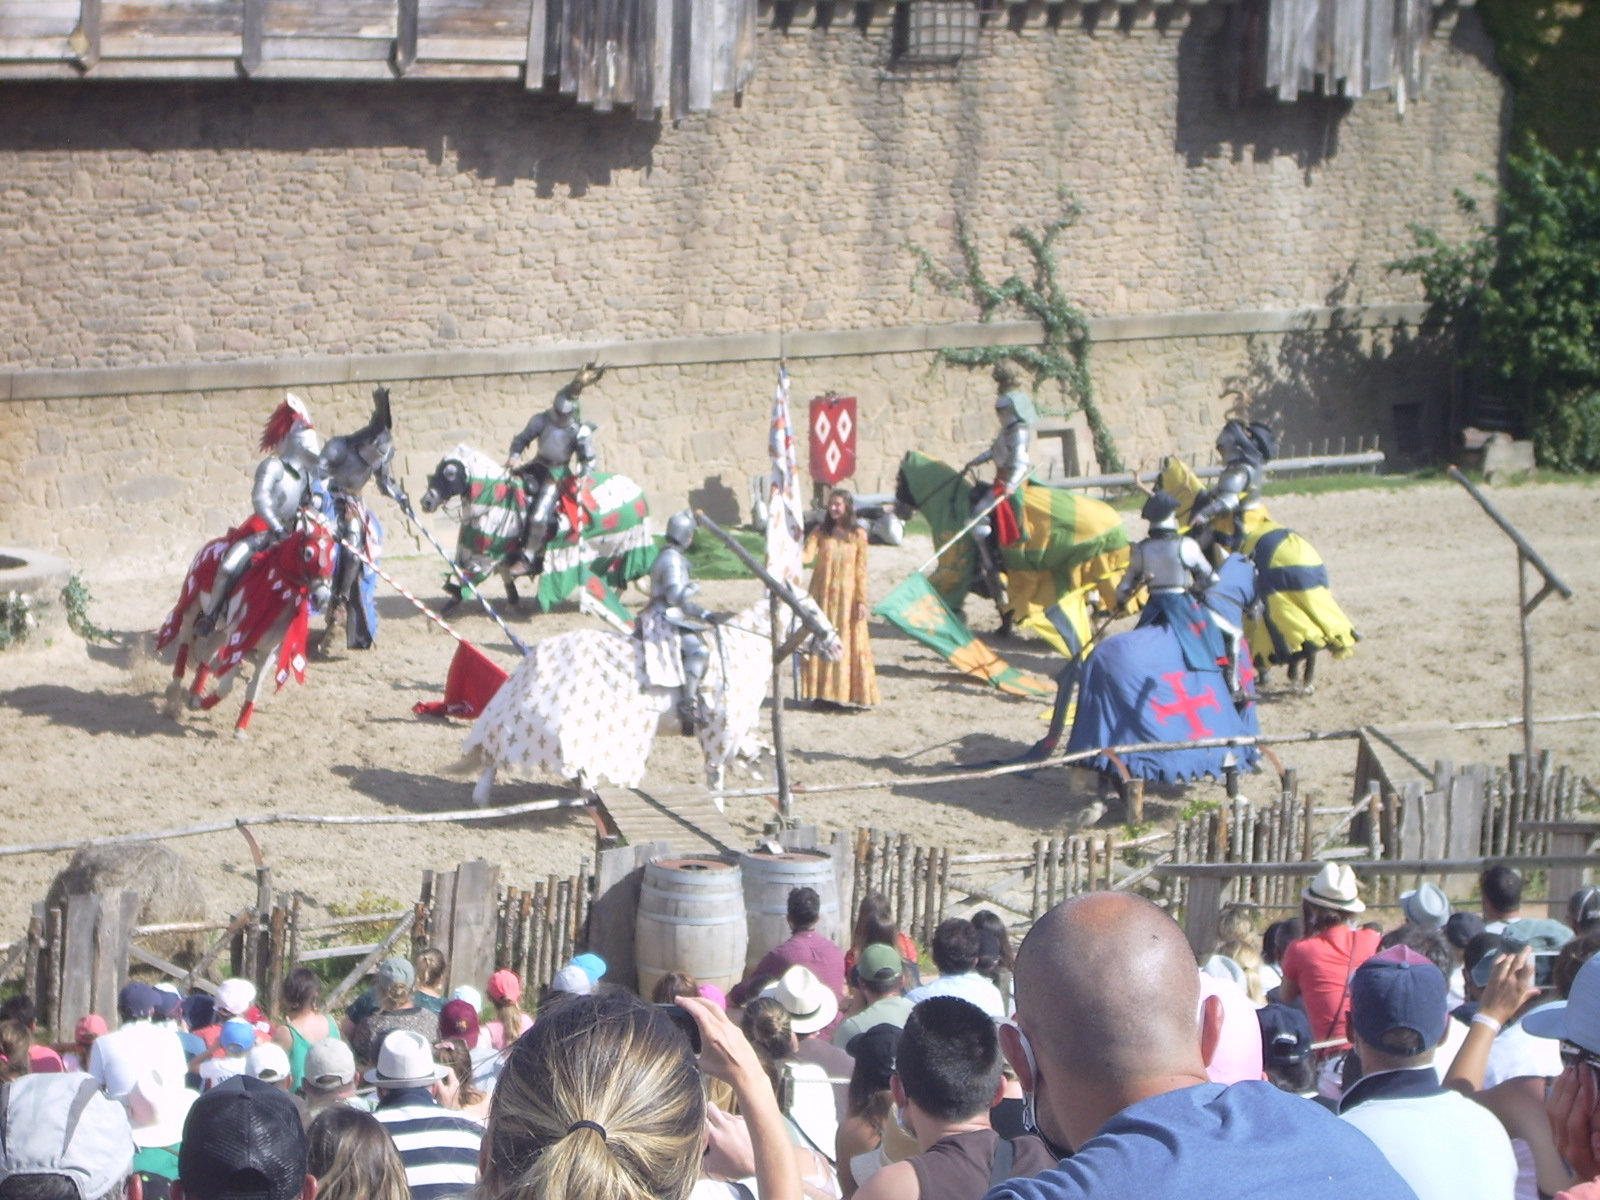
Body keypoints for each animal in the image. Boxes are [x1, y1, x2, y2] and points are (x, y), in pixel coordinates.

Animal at [157, 512, 336, 739]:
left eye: (333, 553)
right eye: (309, 553)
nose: (322, 597)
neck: (276, 590)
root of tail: (210, 546)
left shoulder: (270, 651)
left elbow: (254, 687)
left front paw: (240, 727)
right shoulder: (239, 641)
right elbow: (227, 685)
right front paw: (207, 704)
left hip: (223, 630)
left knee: (208, 652)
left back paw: (195, 694)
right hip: (192, 605)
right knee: (185, 639)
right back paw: (176, 684)